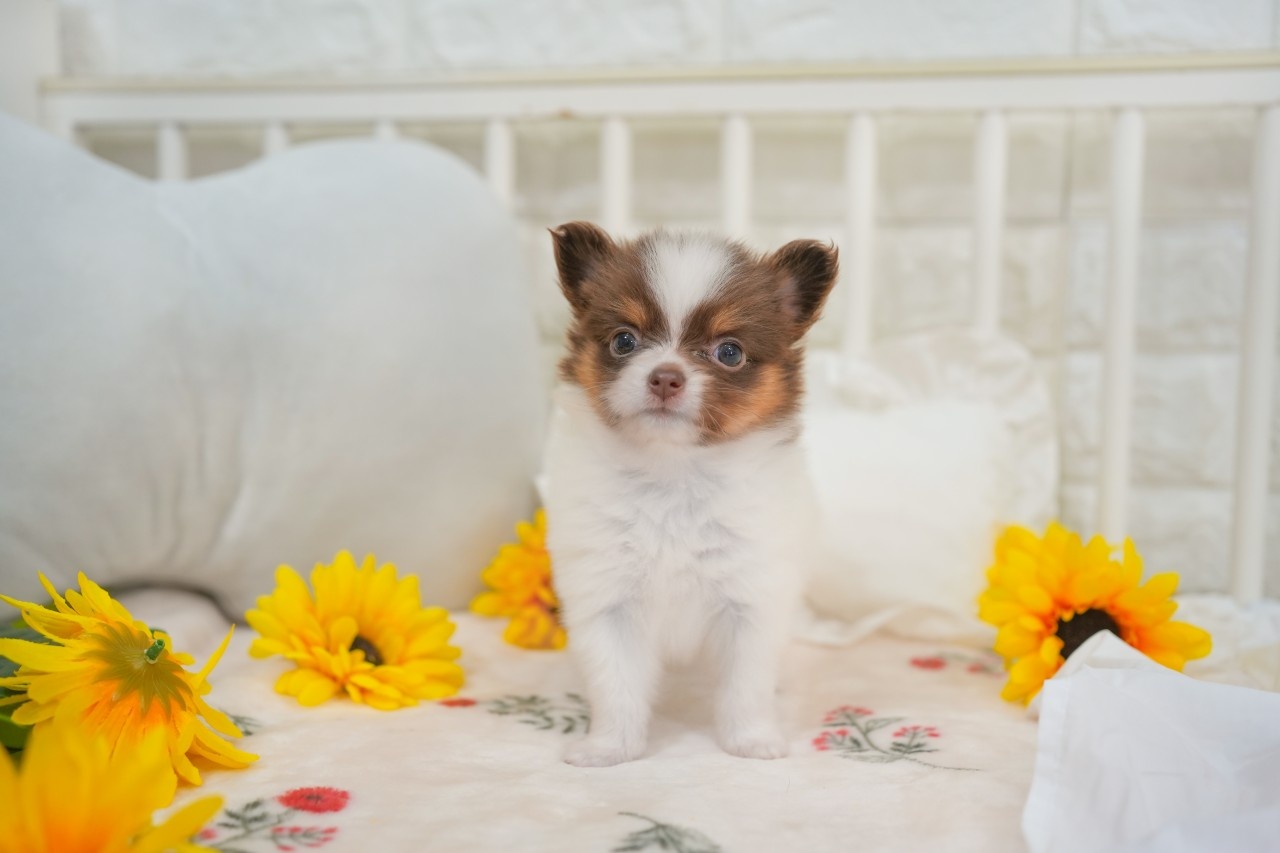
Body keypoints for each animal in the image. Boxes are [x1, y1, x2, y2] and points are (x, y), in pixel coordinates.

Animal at [543, 222, 838, 766]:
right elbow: (615, 684)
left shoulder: (751, 598)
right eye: (624, 341)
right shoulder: (607, 599)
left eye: (729, 352)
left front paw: (752, 740)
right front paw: (609, 748)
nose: (665, 377)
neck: (672, 475)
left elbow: (746, 685)